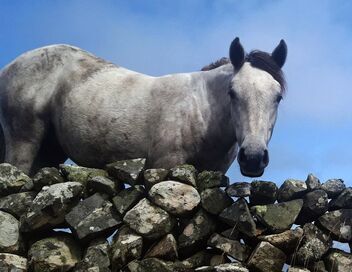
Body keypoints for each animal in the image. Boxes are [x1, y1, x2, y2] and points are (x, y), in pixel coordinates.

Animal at [0, 38, 288, 176]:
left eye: (277, 97)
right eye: (232, 93)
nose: (253, 157)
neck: (201, 112)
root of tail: (10, 67)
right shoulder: (164, 166)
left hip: (50, 152)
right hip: (23, 144)